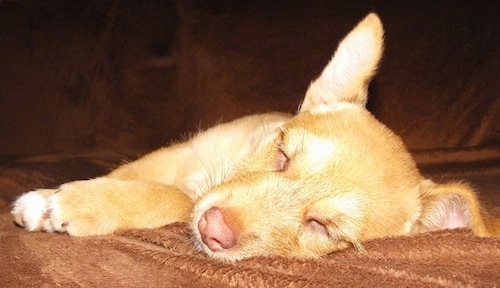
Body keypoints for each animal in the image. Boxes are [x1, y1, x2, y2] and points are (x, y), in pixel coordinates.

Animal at [9, 12, 498, 260]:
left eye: (323, 227)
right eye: (281, 153)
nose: (213, 231)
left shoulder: (185, 192)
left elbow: (174, 198)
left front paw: (76, 204)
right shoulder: (177, 153)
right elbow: (130, 175)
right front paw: (60, 197)